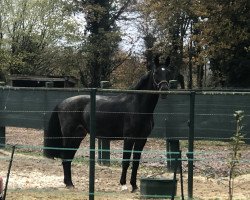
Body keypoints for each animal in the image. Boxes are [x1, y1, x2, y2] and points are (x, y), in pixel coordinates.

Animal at [44, 55, 174, 192]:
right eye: (156, 72)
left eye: (168, 72)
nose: (164, 90)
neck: (137, 106)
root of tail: (62, 103)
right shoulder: (129, 138)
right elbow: (126, 161)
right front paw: (123, 184)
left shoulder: (142, 139)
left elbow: (136, 162)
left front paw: (134, 186)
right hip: (69, 136)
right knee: (65, 156)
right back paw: (69, 184)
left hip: (77, 137)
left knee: (68, 157)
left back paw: (69, 183)